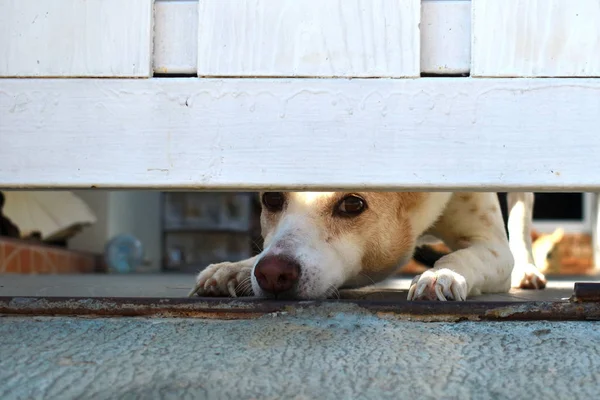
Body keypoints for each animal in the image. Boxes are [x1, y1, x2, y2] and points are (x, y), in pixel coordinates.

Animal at [190, 191, 548, 300]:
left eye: (352, 204)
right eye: (272, 198)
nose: (273, 274)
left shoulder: (492, 245)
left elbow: (463, 257)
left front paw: (439, 276)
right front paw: (233, 270)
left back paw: (528, 271)